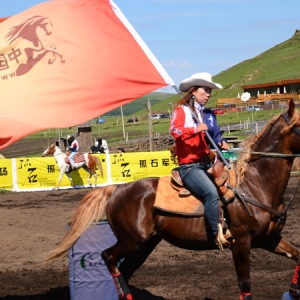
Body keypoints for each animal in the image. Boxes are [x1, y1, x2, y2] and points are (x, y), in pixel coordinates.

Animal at [45, 99, 300, 298]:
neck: (253, 184)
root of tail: (117, 190)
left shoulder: (269, 238)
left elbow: (297, 256)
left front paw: (294, 290)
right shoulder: (241, 243)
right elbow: (245, 285)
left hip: (144, 244)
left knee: (124, 269)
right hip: (132, 241)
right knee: (107, 257)